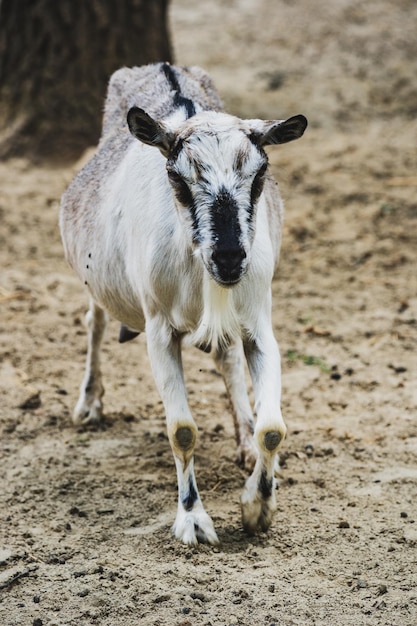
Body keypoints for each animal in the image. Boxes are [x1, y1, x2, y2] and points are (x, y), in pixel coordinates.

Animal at [59, 61, 306, 544]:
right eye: (177, 177)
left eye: (261, 174)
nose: (228, 257)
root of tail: (158, 66)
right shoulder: (159, 331)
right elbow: (183, 431)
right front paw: (192, 519)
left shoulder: (259, 324)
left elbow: (273, 429)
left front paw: (258, 507)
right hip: (97, 280)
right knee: (94, 322)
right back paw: (89, 405)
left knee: (227, 360)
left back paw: (244, 439)